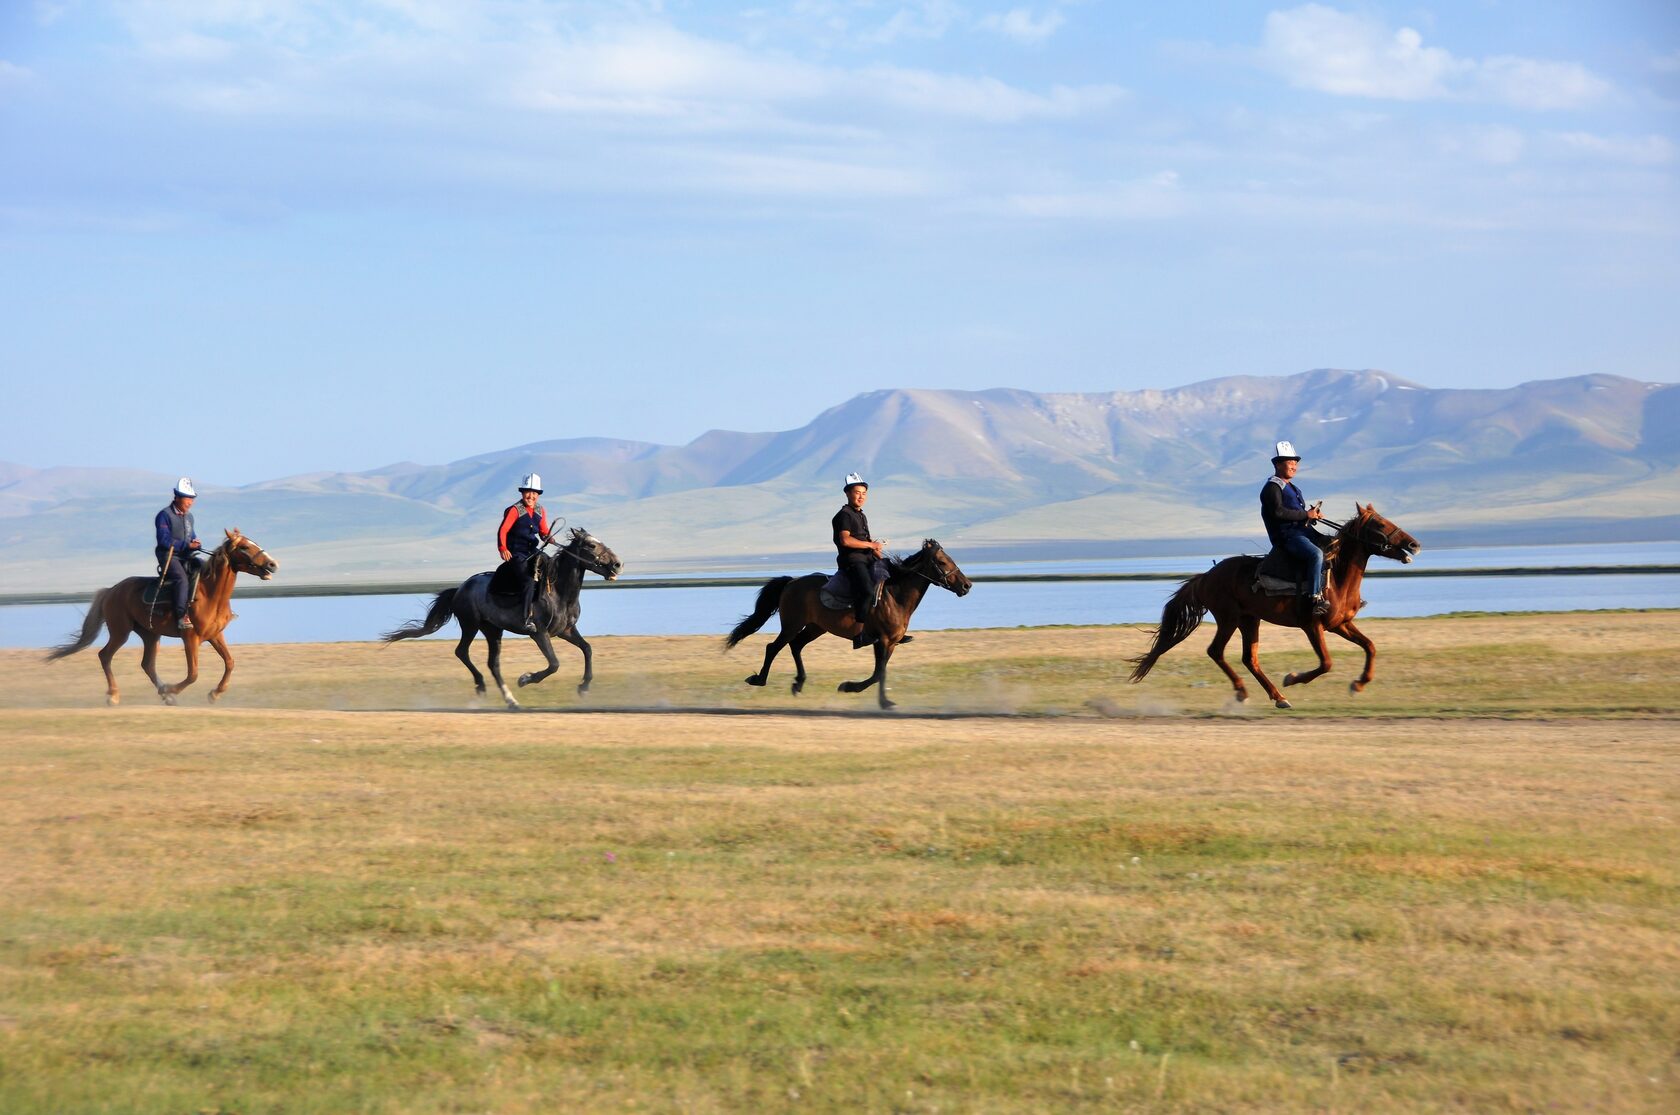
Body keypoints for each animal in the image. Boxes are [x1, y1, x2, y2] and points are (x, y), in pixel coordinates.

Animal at [45, 530, 278, 705]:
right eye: (244, 547)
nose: (273, 564)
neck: (210, 593)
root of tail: (111, 591)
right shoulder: (190, 638)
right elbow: (193, 674)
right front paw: (172, 689)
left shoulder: (215, 636)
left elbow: (229, 662)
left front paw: (214, 693)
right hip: (120, 632)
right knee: (105, 656)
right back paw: (114, 695)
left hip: (150, 634)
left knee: (147, 664)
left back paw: (163, 694)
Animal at [384, 530, 621, 705]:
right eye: (591, 546)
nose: (618, 564)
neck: (558, 592)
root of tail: (460, 588)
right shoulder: (539, 633)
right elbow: (554, 664)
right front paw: (525, 679)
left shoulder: (565, 630)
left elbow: (587, 649)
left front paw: (584, 687)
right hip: (471, 625)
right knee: (462, 652)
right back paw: (482, 686)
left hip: (493, 630)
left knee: (493, 664)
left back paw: (510, 700)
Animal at [722, 537, 974, 708]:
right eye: (941, 561)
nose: (966, 585)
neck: (895, 596)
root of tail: (792, 582)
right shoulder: (882, 640)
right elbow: (878, 674)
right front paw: (856, 690)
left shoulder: (890, 643)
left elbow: (879, 673)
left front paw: (875, 698)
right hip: (792, 625)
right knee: (773, 647)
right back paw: (759, 680)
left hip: (816, 627)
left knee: (796, 645)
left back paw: (798, 683)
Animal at [1128, 503, 1417, 705]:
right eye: (1379, 524)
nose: (1414, 544)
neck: (1337, 578)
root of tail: (1206, 576)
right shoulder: (1312, 626)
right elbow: (1326, 663)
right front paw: (1292, 678)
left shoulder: (1340, 624)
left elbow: (1370, 646)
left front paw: (1358, 684)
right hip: (1228, 619)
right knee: (1216, 651)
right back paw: (1245, 692)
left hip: (1249, 620)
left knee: (1249, 658)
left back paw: (1277, 697)